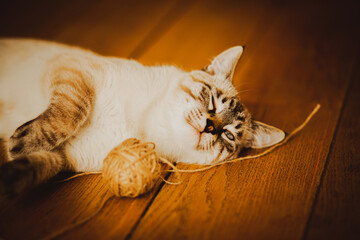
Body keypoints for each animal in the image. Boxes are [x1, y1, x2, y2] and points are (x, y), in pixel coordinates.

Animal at [0, 38, 284, 196]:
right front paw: (20, 143)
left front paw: (10, 169)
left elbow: (35, 165)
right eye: (212, 103)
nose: (210, 127)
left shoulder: (62, 157)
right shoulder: (74, 71)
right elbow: (70, 114)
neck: (146, 126)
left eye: (228, 135)